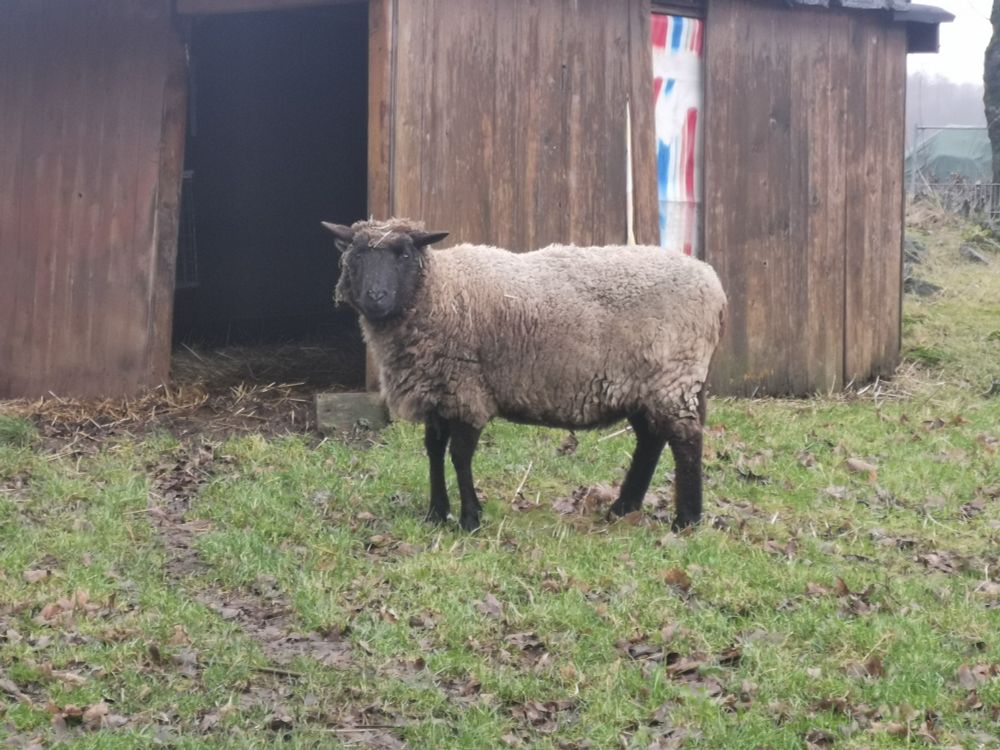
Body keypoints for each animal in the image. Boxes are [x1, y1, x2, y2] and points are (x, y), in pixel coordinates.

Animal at [323, 218, 727, 533]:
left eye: (404, 255)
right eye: (356, 255)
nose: (376, 296)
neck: (438, 290)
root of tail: (713, 284)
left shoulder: (466, 392)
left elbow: (459, 456)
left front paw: (470, 519)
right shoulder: (438, 392)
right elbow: (434, 452)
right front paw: (436, 514)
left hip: (674, 375)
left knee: (686, 440)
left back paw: (686, 520)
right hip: (643, 384)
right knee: (651, 439)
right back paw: (622, 509)